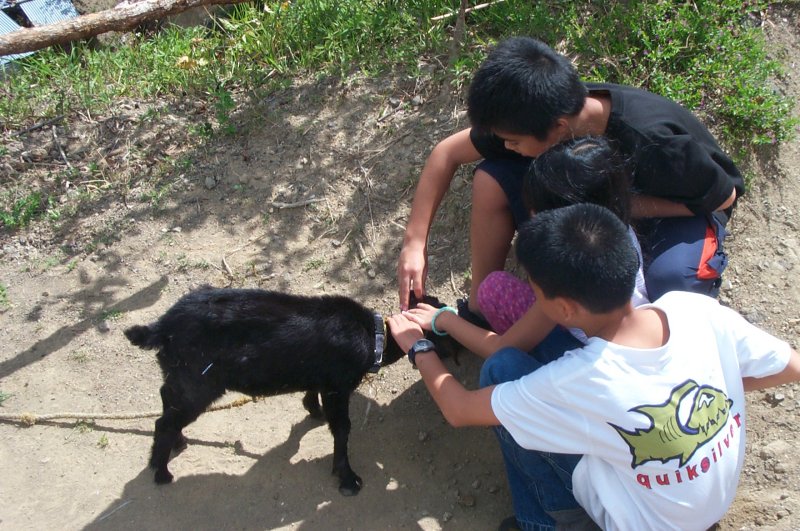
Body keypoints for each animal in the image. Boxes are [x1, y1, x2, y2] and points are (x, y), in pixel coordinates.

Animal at [124, 288, 456, 496]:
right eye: (441, 329)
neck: (373, 337)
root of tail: (161, 327)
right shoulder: (337, 388)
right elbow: (342, 429)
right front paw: (347, 477)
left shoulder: (321, 379)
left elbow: (311, 397)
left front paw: (313, 411)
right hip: (199, 383)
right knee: (164, 420)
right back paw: (161, 471)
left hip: (180, 376)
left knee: (166, 400)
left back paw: (177, 443)